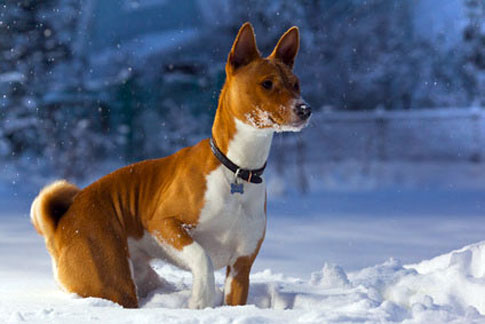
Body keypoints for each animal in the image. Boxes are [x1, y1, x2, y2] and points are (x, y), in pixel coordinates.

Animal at [30, 22, 310, 308]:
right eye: (267, 83)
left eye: (296, 84)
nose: (305, 109)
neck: (236, 169)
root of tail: (62, 222)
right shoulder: (163, 223)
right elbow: (202, 257)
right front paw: (201, 298)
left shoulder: (240, 268)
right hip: (113, 280)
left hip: (144, 277)